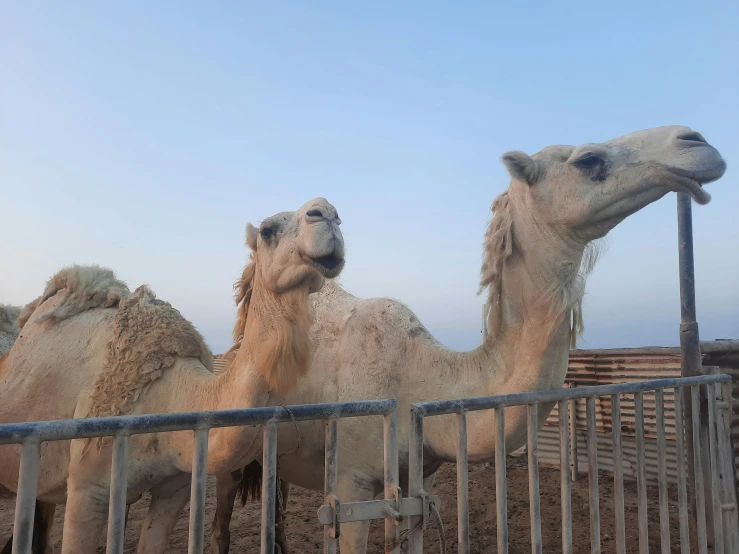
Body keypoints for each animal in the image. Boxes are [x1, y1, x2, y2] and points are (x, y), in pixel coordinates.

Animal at [211, 126, 724, 552]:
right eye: (588, 158)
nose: (698, 143)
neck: (418, 378)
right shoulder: (350, 485)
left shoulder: (419, 480)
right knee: (221, 521)